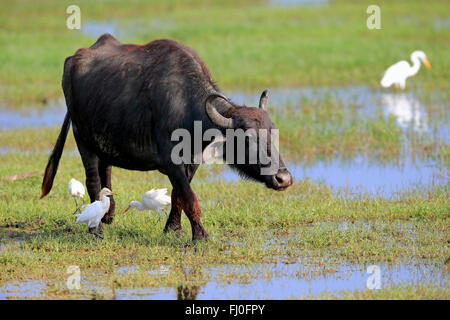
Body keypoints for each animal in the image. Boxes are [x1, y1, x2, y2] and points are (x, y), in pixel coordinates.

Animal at [41, 34, 292, 240]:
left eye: (272, 133)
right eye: (247, 138)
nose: (284, 179)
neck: (186, 108)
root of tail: (73, 59)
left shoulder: (191, 164)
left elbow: (177, 195)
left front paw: (173, 228)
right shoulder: (171, 161)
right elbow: (190, 198)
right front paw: (200, 235)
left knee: (106, 171)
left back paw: (108, 215)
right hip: (82, 139)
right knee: (93, 180)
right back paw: (96, 227)